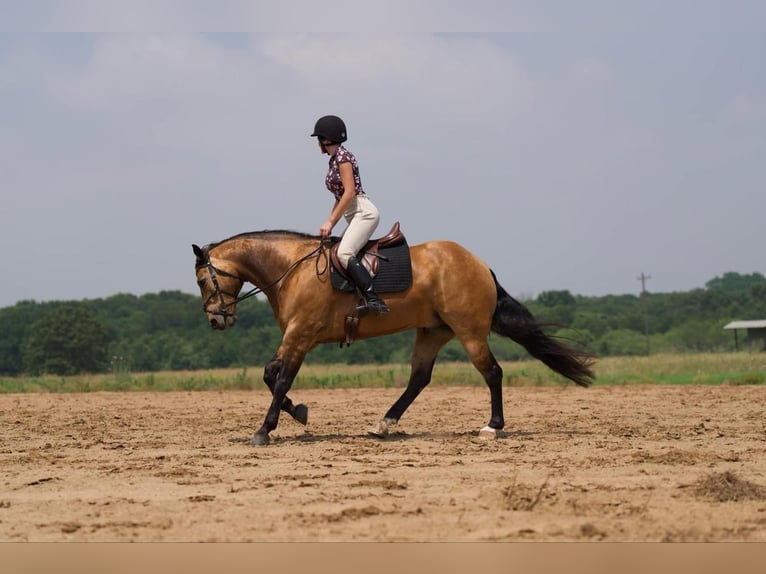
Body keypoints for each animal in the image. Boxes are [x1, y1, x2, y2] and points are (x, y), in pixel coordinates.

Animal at [194, 227, 600, 448]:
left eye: (201, 279)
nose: (216, 321)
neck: (292, 269)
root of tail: (479, 264)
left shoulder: (301, 335)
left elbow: (279, 380)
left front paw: (264, 430)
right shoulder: (296, 337)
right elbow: (271, 376)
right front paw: (300, 413)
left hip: (468, 331)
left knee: (492, 372)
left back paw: (492, 427)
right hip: (433, 332)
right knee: (419, 378)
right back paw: (384, 424)